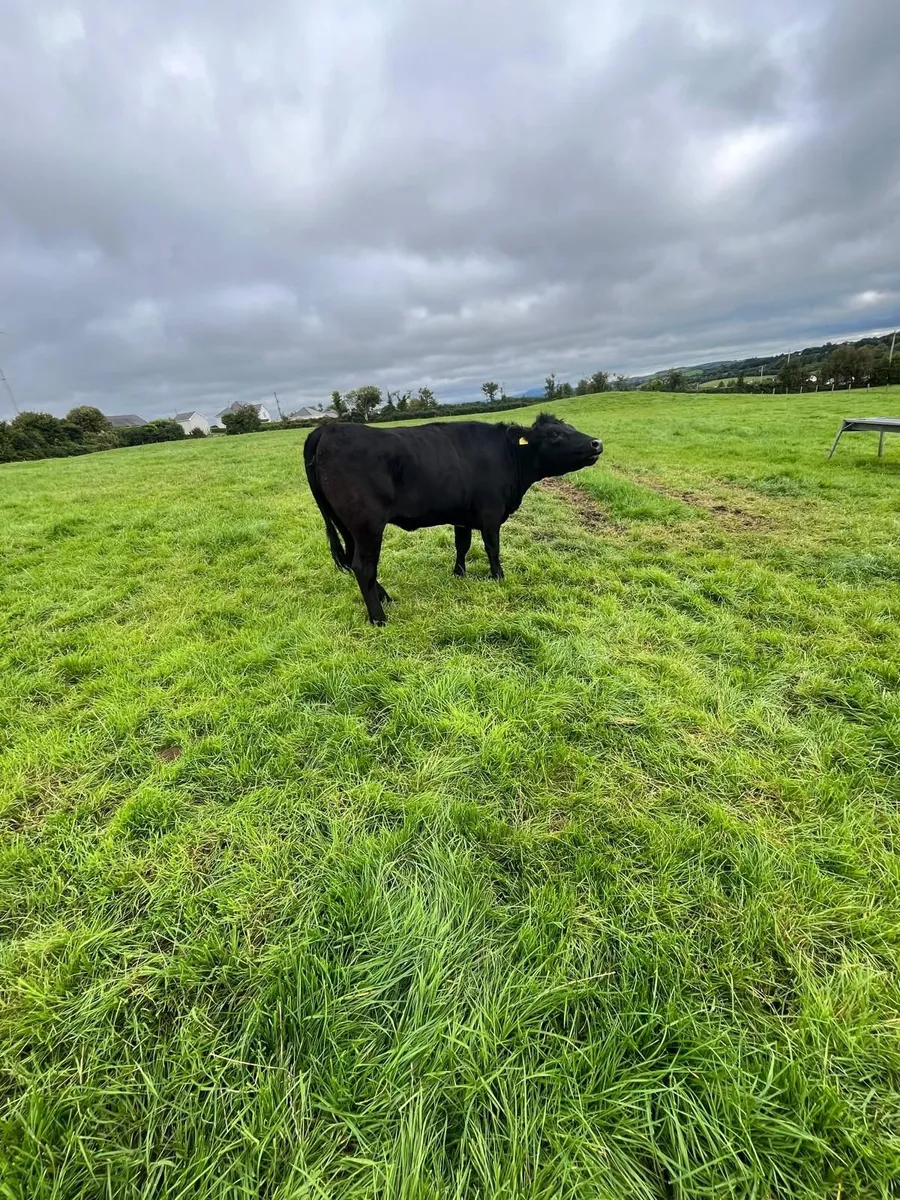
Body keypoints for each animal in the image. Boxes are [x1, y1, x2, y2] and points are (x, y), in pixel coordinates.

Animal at [304, 412, 603, 624]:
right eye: (555, 434)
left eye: (570, 428)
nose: (596, 442)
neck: (508, 455)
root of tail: (327, 429)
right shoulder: (491, 513)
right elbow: (492, 548)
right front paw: (498, 577)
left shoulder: (463, 515)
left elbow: (463, 544)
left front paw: (459, 573)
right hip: (367, 525)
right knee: (364, 567)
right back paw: (379, 617)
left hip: (346, 526)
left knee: (355, 562)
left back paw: (385, 597)